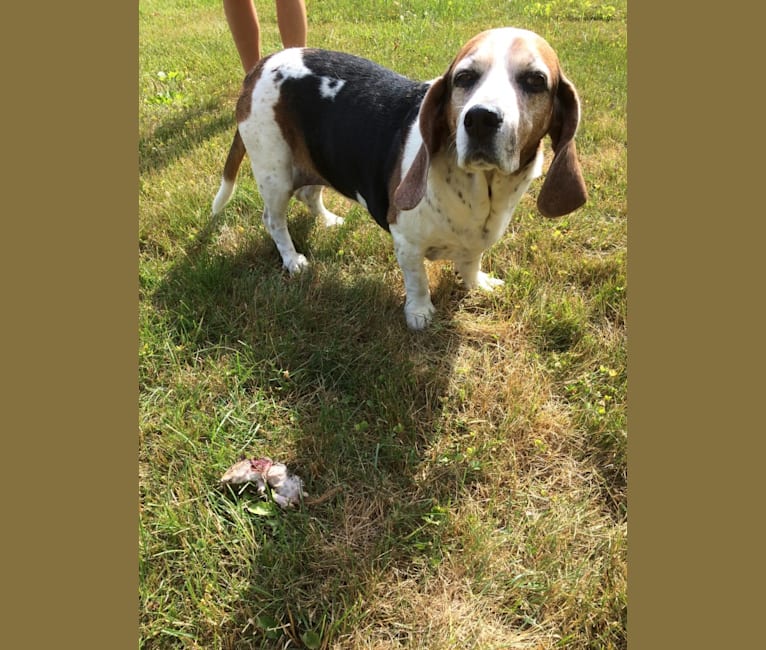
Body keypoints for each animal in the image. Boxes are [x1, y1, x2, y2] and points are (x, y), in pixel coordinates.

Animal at [210, 27, 588, 326]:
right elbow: (418, 280)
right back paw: (292, 260)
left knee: (309, 194)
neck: (480, 187)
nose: (481, 118)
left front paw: (477, 284)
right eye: (464, 78)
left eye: (535, 81)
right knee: (274, 221)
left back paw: (328, 220)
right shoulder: (406, 242)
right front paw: (420, 314)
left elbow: (471, 262)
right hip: (274, 173)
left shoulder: (476, 241)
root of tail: (262, 64)